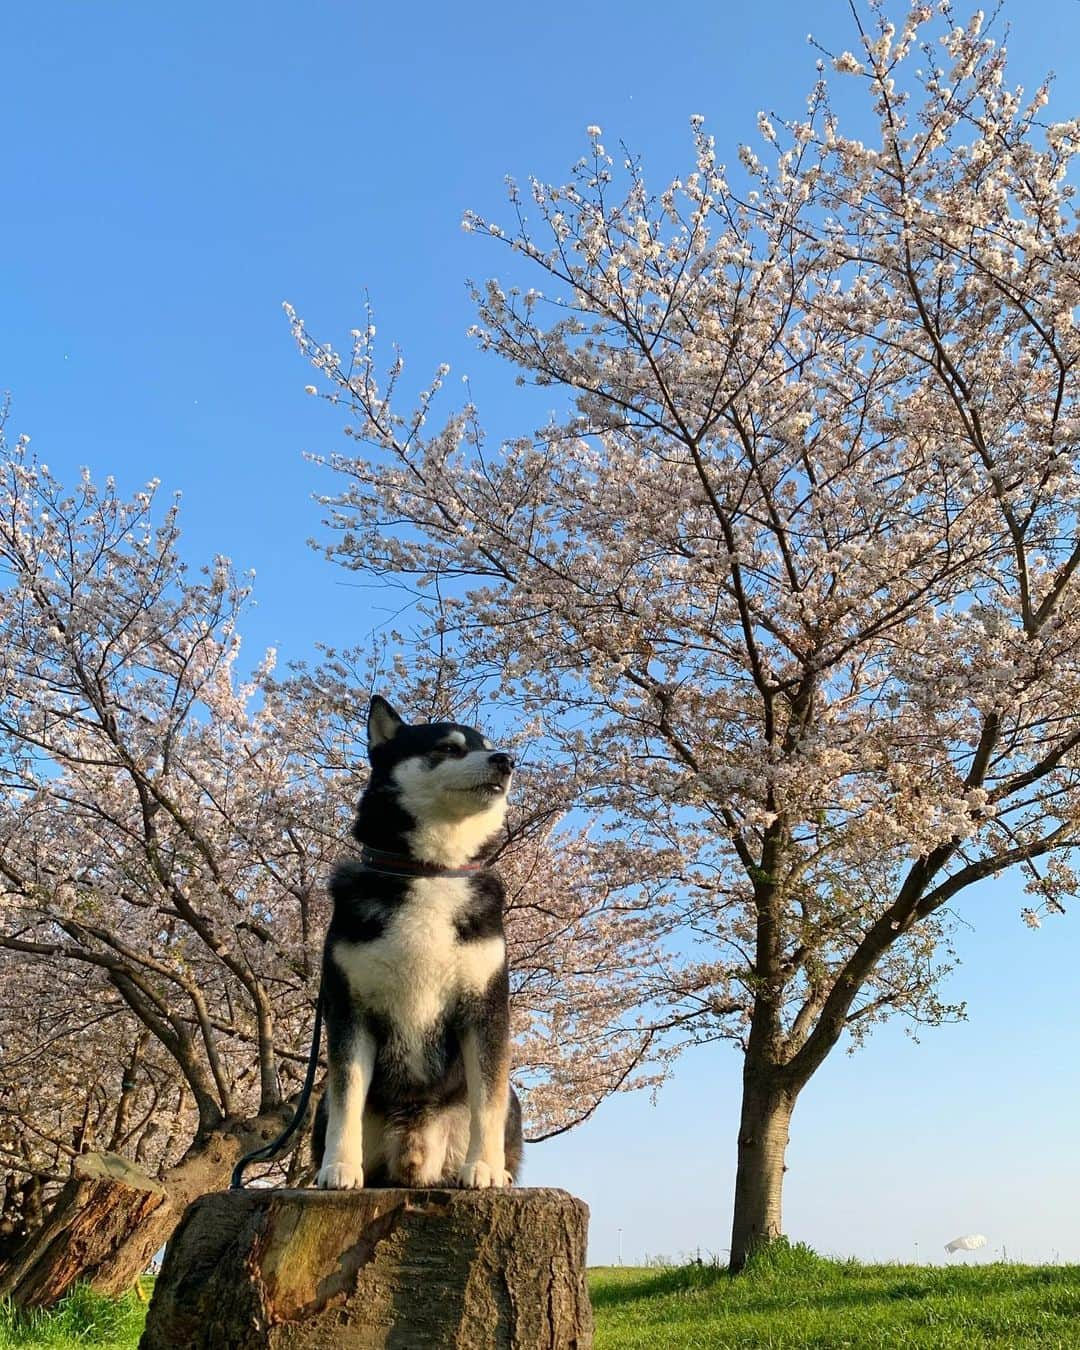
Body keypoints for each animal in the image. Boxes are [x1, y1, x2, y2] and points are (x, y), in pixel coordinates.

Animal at [311, 696, 523, 1193]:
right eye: (449, 748)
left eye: (487, 745)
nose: (506, 760)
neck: (430, 872)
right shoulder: (348, 1009)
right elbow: (347, 1096)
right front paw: (339, 1167)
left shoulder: (486, 1009)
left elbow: (488, 1100)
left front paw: (484, 1166)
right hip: (319, 1105)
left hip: (510, 1104)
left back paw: (499, 1169)